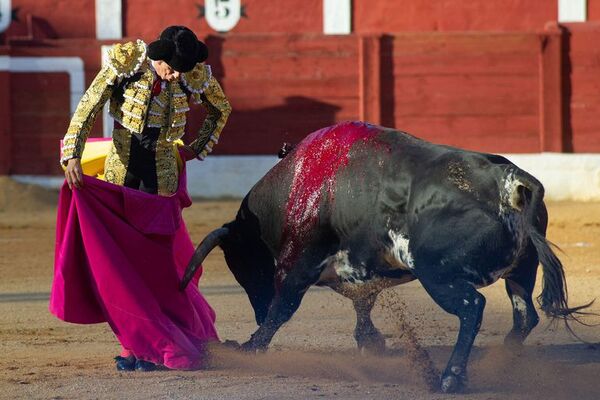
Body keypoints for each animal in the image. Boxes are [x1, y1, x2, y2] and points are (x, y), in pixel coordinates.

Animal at [179, 120, 592, 392]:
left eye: (243, 266)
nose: (256, 309)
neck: (293, 188)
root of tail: (510, 183)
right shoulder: (362, 269)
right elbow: (363, 305)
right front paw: (372, 344)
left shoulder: (297, 266)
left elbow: (283, 310)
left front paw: (250, 348)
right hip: (520, 272)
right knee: (524, 316)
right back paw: (502, 361)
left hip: (438, 274)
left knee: (472, 306)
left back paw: (450, 377)